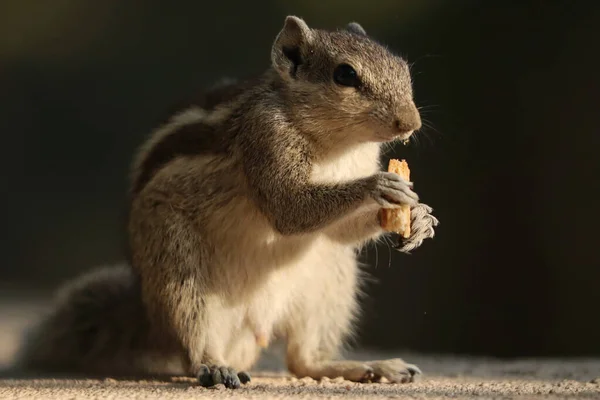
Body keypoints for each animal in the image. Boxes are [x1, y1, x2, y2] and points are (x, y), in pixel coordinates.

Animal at [12, 15, 440, 388]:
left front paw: (418, 218)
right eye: (345, 75)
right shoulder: (265, 139)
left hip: (331, 280)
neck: (340, 146)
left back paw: (367, 367)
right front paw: (377, 186)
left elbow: (338, 231)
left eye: (403, 68)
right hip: (176, 263)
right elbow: (288, 209)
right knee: (195, 340)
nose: (411, 123)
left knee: (302, 361)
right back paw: (214, 366)